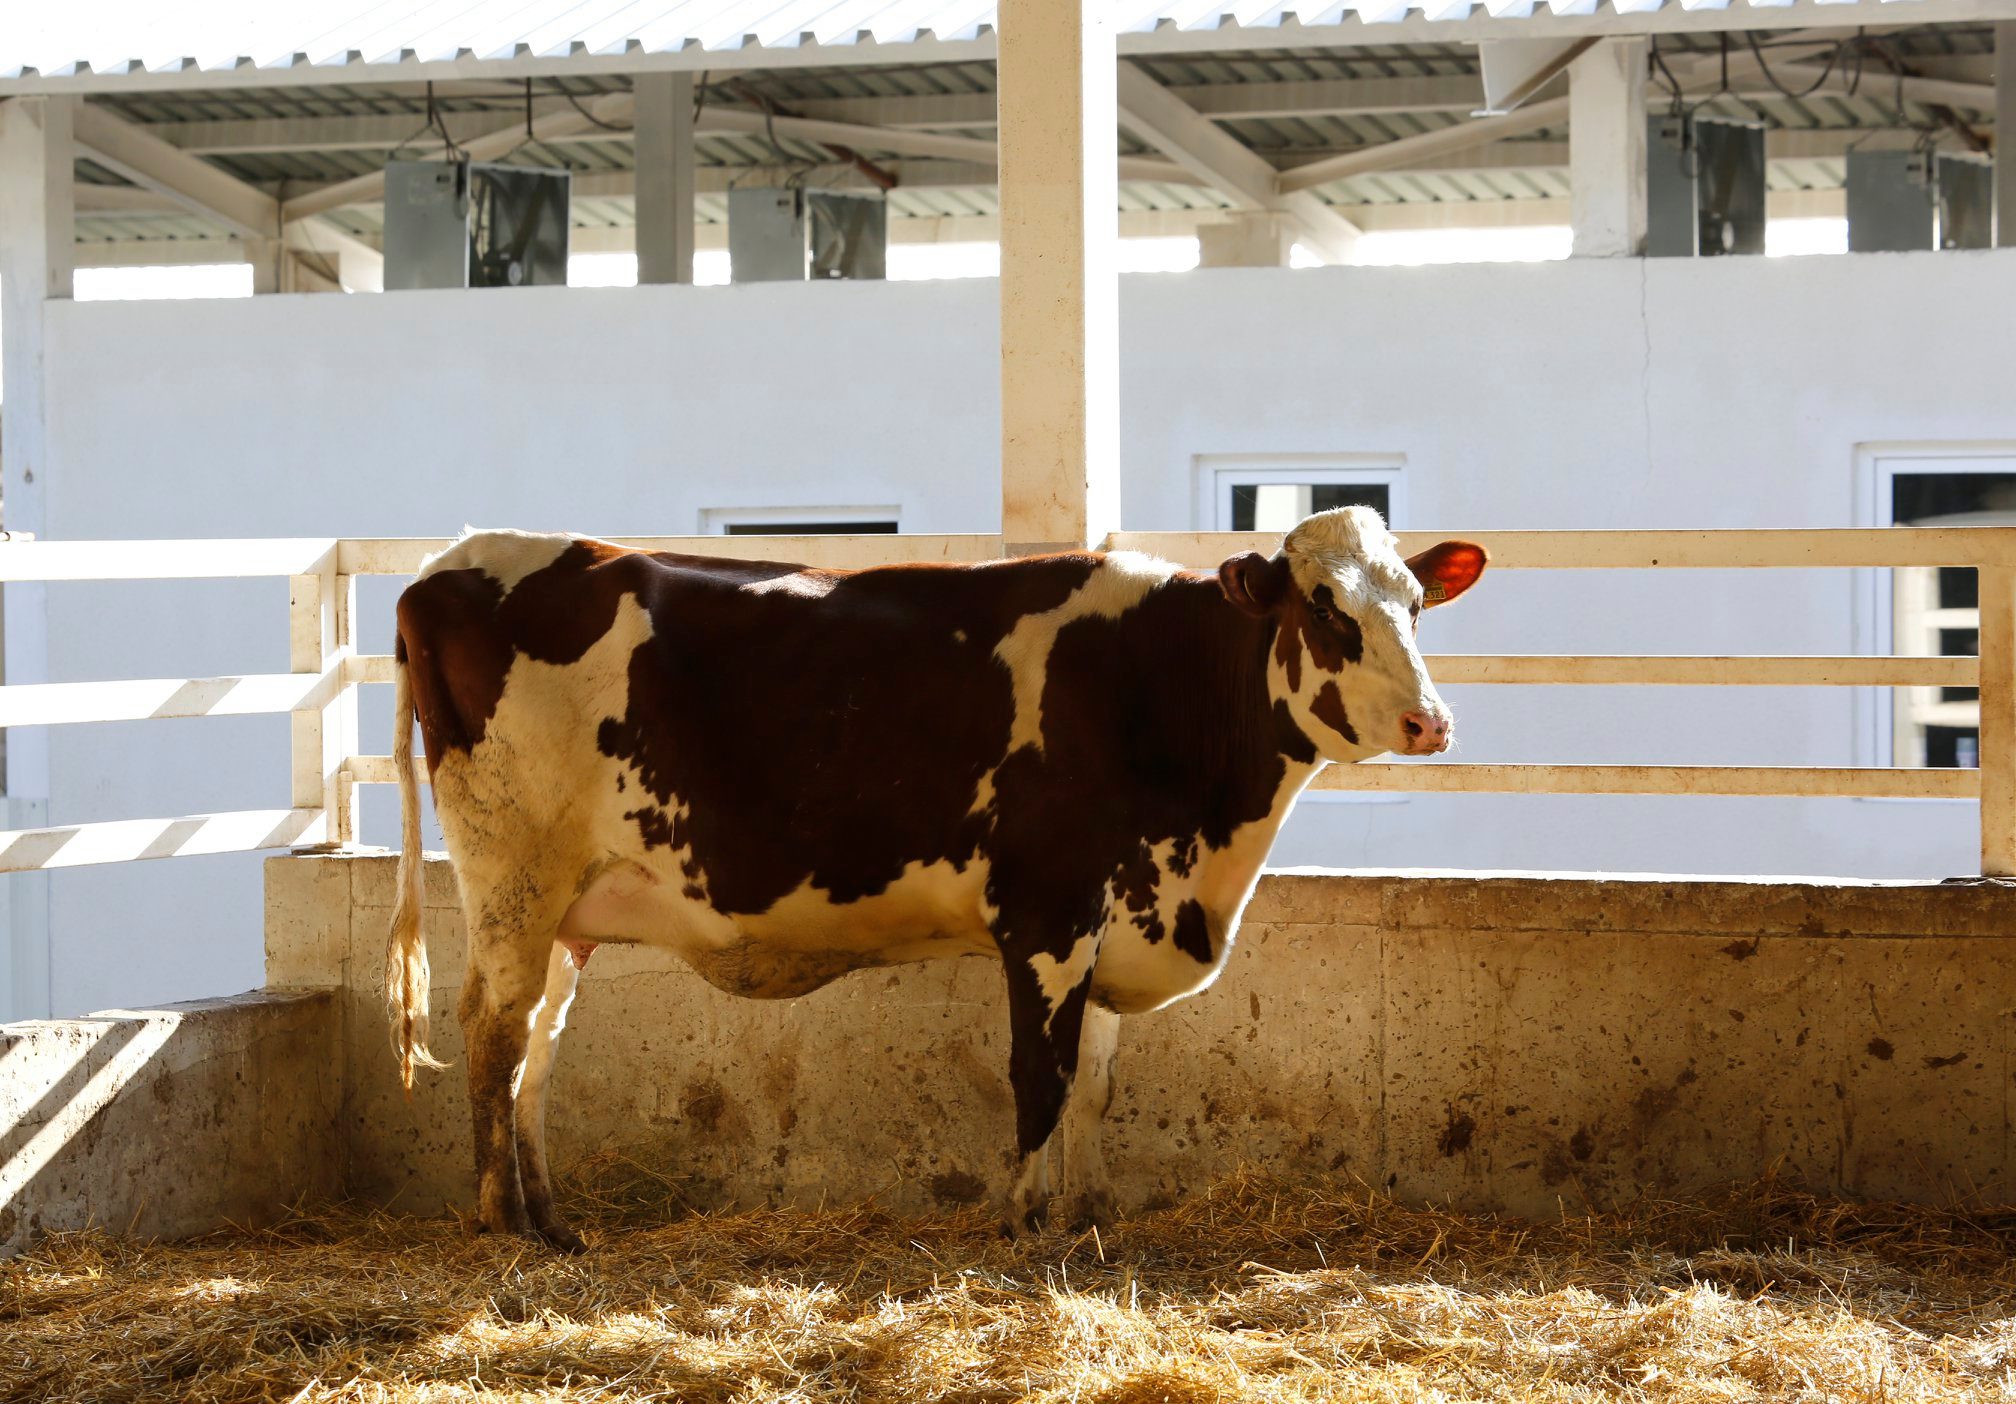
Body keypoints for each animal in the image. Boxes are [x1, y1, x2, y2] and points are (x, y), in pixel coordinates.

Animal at [385, 506, 1485, 1251]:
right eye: (1326, 608)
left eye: (1416, 605)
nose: (1432, 722)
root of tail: (454, 560)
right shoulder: (1045, 910)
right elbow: (1041, 1076)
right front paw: (1020, 1224)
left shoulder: (1112, 916)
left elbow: (1097, 1085)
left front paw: (1087, 1219)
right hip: (514, 875)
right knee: (494, 1030)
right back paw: (499, 1221)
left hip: (567, 908)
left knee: (536, 1047)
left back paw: (552, 1220)